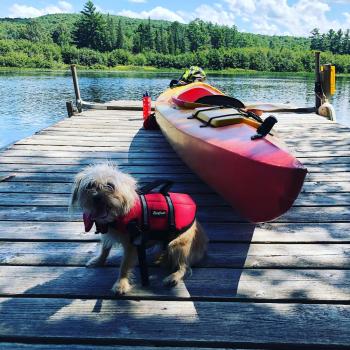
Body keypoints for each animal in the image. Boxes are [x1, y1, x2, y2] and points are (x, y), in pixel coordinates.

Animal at [70, 163, 209, 294]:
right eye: (90, 185)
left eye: (110, 185)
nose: (97, 197)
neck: (116, 216)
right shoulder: (107, 235)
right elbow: (105, 250)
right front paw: (99, 261)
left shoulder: (132, 245)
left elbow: (124, 265)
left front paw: (121, 284)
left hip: (178, 245)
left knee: (184, 267)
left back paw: (173, 277)